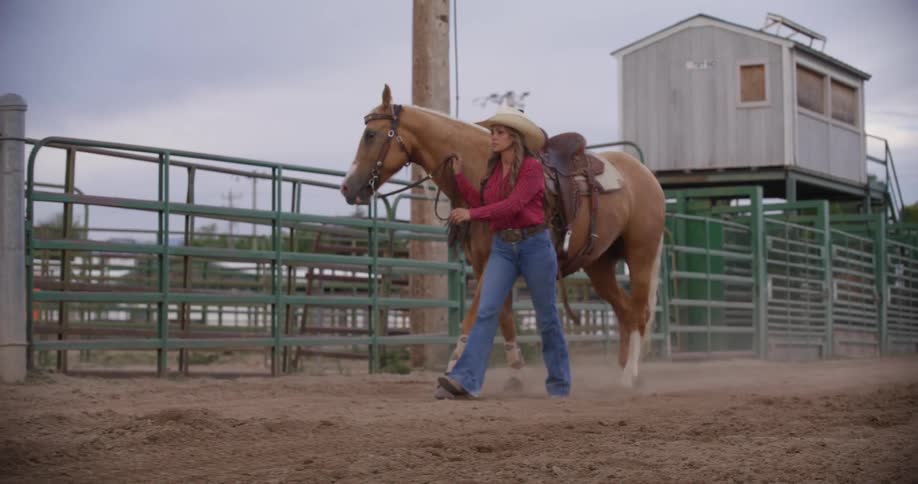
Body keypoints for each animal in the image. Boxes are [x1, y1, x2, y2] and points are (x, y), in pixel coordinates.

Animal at [340, 85, 666, 388]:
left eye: (370, 134)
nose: (346, 187)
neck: (481, 170)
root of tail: (647, 176)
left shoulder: (490, 264)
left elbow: (475, 313)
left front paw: (452, 367)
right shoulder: (485, 263)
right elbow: (504, 316)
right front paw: (516, 375)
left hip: (640, 256)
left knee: (639, 312)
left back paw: (629, 375)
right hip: (598, 263)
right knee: (624, 312)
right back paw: (623, 373)